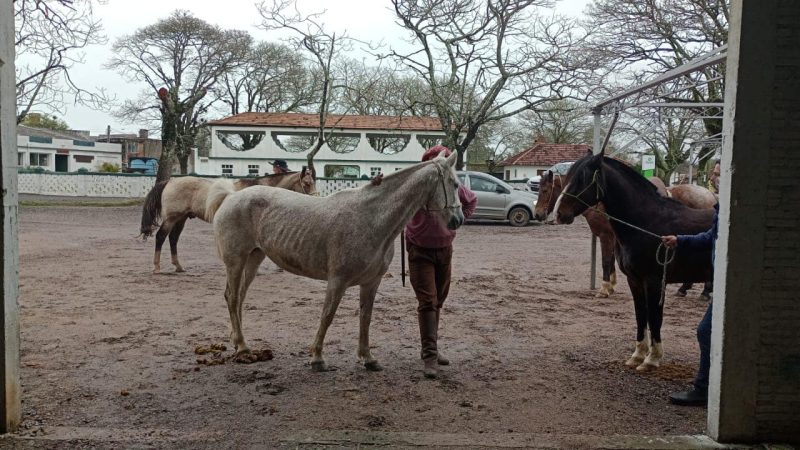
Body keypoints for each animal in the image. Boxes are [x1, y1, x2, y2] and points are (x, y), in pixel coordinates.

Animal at [139, 169, 318, 272]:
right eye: (307, 183)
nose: (315, 198)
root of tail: (170, 181)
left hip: (181, 219)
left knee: (173, 239)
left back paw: (178, 266)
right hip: (171, 218)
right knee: (161, 237)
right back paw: (157, 267)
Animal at [203, 153, 462, 370]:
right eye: (455, 183)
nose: (458, 220)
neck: (371, 218)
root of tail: (231, 197)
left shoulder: (371, 282)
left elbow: (366, 318)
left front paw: (367, 358)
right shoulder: (337, 281)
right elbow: (327, 315)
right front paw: (317, 357)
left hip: (254, 258)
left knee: (239, 297)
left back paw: (237, 341)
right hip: (235, 261)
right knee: (232, 297)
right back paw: (243, 347)